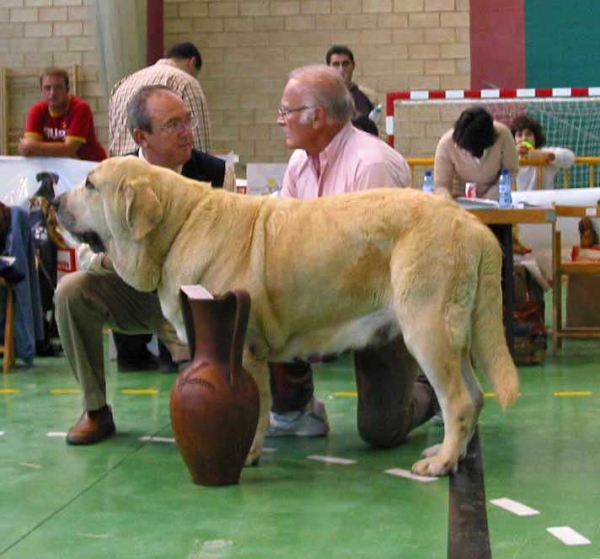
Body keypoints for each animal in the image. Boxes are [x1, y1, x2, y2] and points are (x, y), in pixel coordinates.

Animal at [54, 158, 516, 476]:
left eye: (91, 184)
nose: (54, 199)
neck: (179, 225)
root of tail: (469, 221)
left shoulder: (243, 347)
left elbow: (254, 410)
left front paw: (245, 455)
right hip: (454, 338)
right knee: (474, 396)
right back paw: (451, 454)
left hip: (427, 329)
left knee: (457, 400)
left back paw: (441, 462)